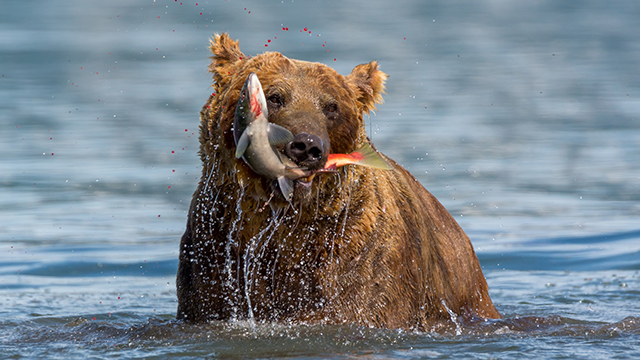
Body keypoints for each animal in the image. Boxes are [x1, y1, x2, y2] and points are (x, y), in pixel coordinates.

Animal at [176, 33, 500, 330]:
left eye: (331, 107)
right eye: (276, 96)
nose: (306, 145)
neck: (283, 224)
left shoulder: (358, 249)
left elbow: (356, 302)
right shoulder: (215, 248)